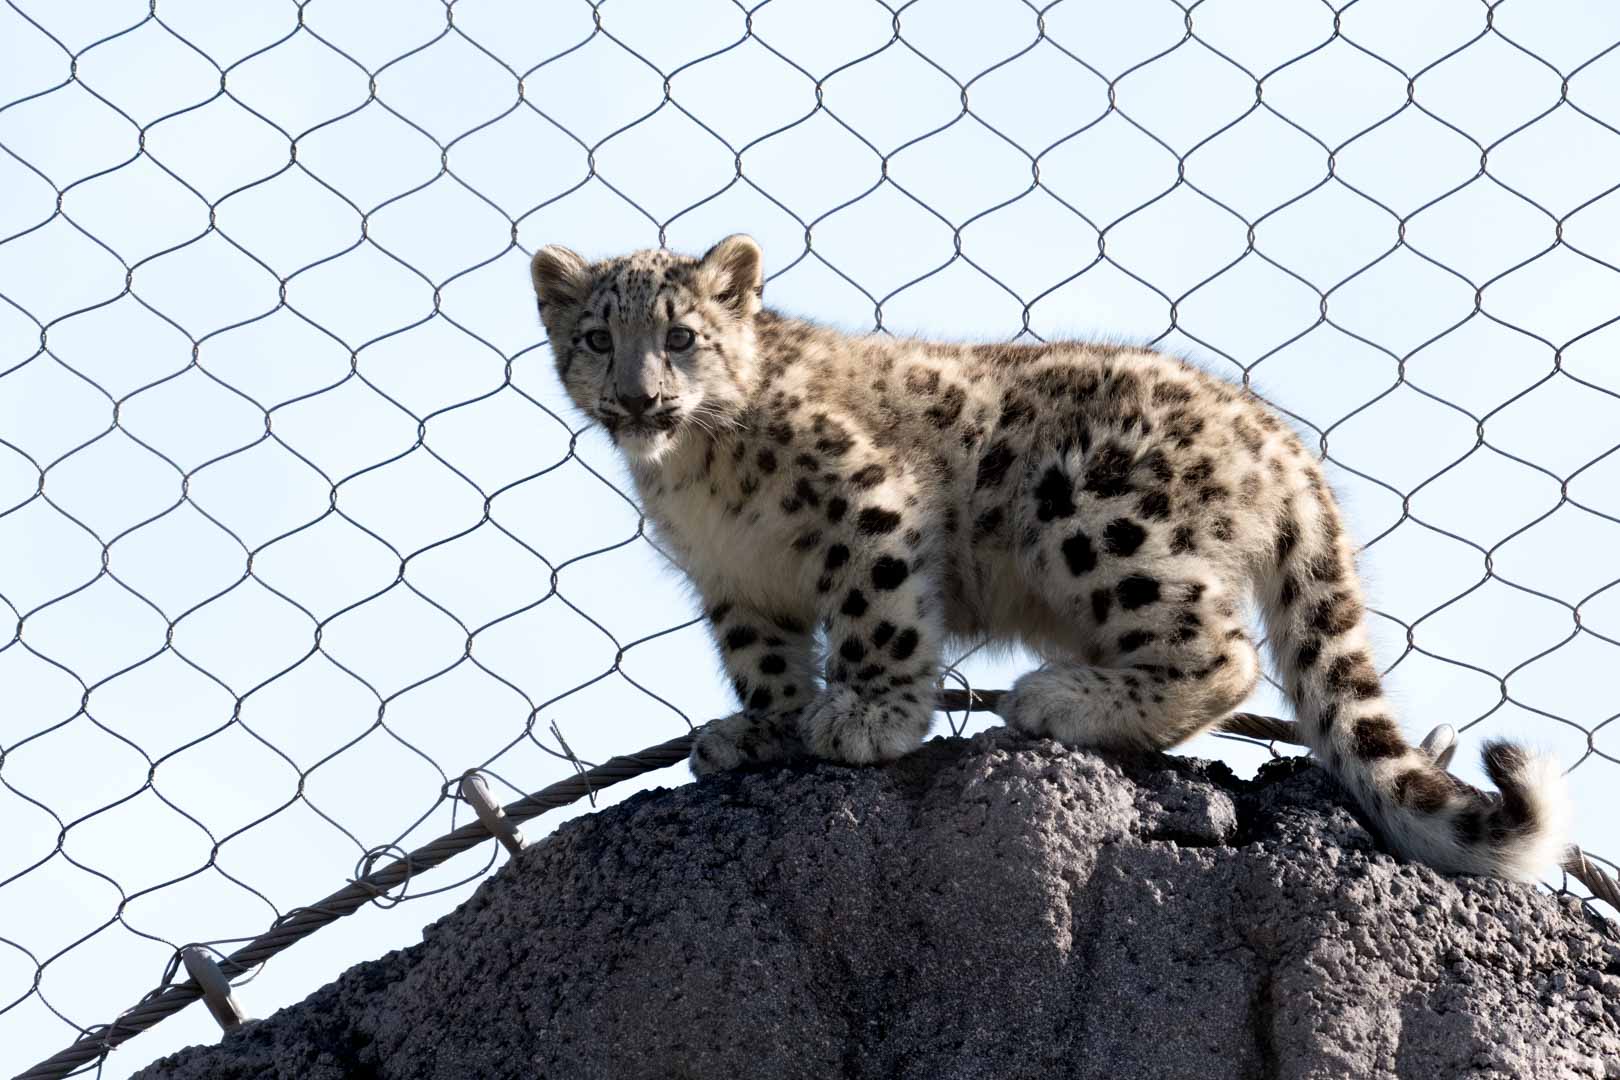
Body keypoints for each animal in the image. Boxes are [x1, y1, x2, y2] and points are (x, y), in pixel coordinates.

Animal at [528, 233, 1571, 881]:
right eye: (596, 337)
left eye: (681, 335)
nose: (640, 397)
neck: (693, 475)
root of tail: (1278, 440)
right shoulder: (737, 583)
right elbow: (764, 663)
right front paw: (763, 730)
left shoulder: (869, 504)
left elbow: (877, 619)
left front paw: (868, 717)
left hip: (1095, 520)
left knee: (1223, 649)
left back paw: (1058, 698)